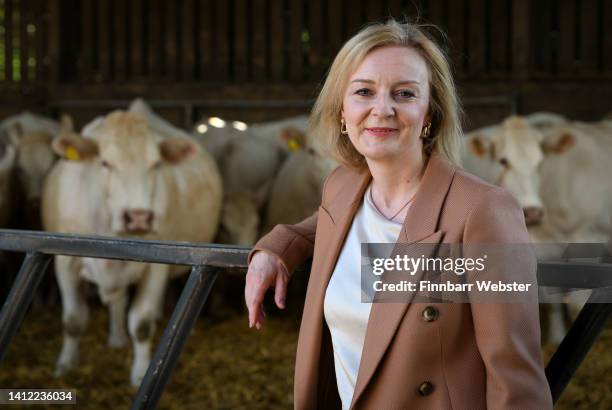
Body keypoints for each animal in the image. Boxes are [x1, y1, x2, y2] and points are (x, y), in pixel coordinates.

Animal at [41, 110, 222, 386]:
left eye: (156, 164)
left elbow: (142, 325)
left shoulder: (157, 268)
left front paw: (139, 374)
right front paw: (66, 364)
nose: (138, 217)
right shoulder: (65, 261)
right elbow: (73, 320)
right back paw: (116, 338)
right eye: (105, 163)